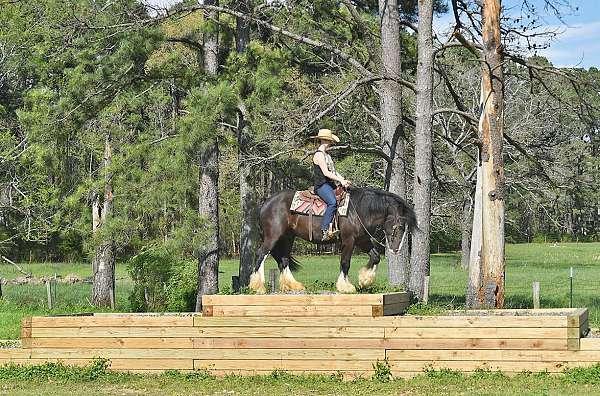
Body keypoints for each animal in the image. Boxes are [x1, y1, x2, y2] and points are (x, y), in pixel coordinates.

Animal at [250, 188, 418, 294]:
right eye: (399, 226)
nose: (395, 250)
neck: (359, 210)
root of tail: (265, 204)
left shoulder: (362, 241)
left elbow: (375, 257)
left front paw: (364, 281)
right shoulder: (349, 241)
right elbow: (345, 262)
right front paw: (346, 286)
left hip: (287, 238)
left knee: (283, 260)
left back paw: (293, 285)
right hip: (273, 236)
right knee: (260, 254)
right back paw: (258, 287)